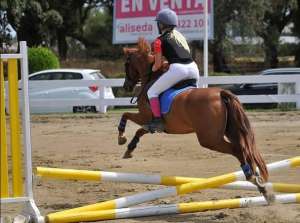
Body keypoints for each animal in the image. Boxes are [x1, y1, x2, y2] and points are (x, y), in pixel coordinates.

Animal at [118, 38, 274, 202]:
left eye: (126, 64)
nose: (126, 86)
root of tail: (220, 93)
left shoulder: (144, 116)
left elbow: (126, 116)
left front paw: (122, 138)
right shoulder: (150, 124)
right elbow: (139, 130)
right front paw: (129, 148)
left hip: (209, 139)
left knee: (237, 149)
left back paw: (251, 177)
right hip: (229, 130)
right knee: (244, 149)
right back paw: (261, 186)